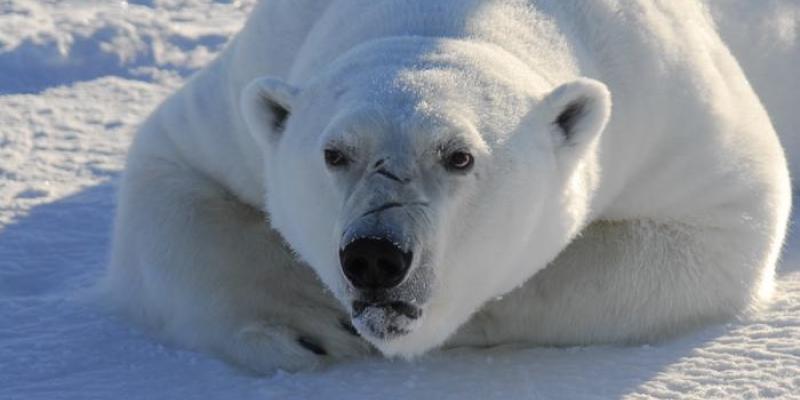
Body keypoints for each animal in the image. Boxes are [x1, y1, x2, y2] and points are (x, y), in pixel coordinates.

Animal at [105, 0, 791, 374]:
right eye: (333, 153)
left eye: (459, 157)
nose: (375, 256)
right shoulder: (258, 70)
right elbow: (172, 167)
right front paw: (304, 326)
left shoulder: (665, 100)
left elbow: (728, 219)